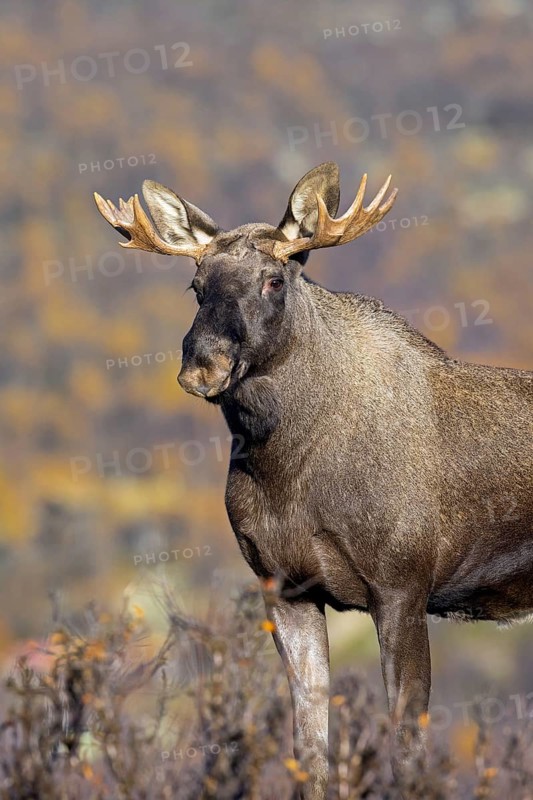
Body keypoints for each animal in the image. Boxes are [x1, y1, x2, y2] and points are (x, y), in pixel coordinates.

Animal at [95, 162, 533, 799]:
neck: (287, 473)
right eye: (196, 285)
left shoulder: (402, 587)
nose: (202, 365)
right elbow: (309, 747)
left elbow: (407, 747)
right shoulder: (287, 589)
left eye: (275, 280)